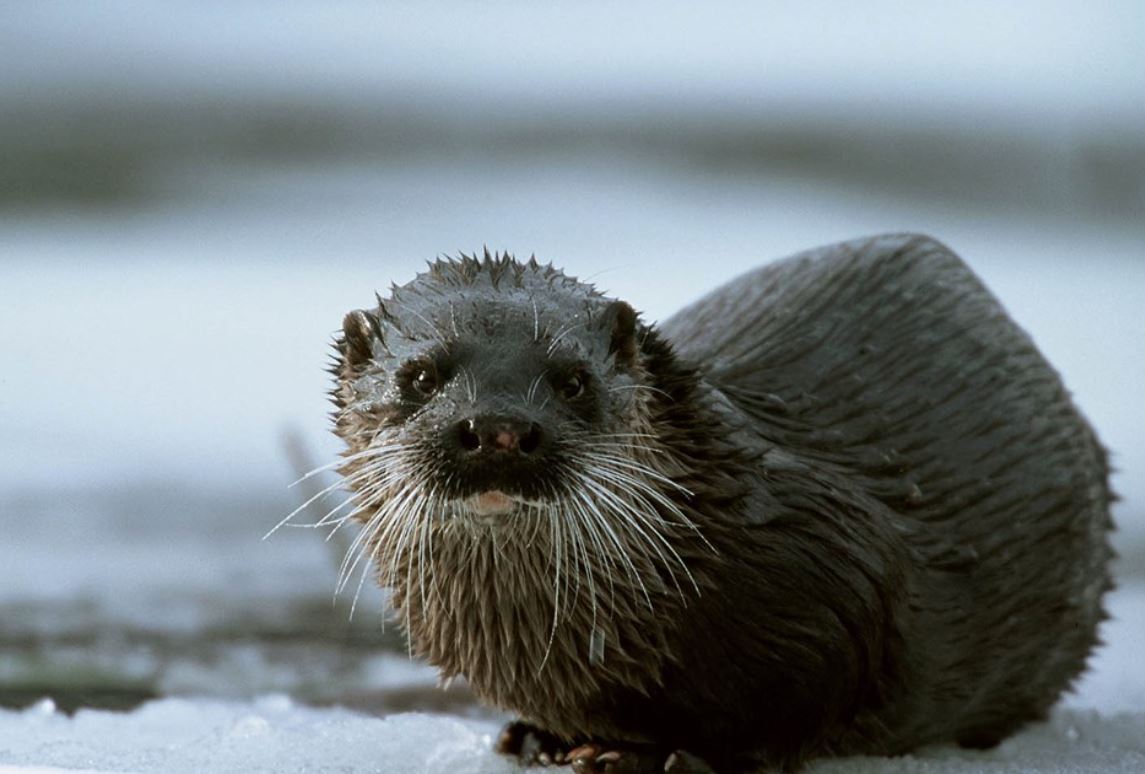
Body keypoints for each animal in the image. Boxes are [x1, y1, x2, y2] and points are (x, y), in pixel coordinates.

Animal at [326, 234, 1113, 773]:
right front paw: (539, 735)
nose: (497, 427)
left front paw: (653, 755)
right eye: (421, 375)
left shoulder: (834, 565)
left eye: (572, 379)